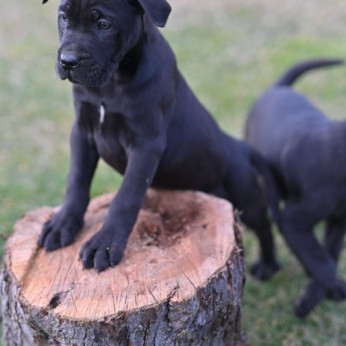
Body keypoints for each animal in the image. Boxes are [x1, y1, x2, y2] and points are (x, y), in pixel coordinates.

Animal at [39, 0, 280, 278]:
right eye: (64, 17)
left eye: (103, 25)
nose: (67, 61)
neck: (111, 83)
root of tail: (239, 145)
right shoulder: (82, 131)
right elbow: (76, 181)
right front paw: (62, 224)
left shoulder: (146, 144)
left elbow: (126, 197)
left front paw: (105, 243)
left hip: (245, 196)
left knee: (264, 225)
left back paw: (268, 265)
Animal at [246, 58, 346, 318]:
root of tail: (277, 88)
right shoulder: (293, 220)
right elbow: (323, 262)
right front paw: (307, 303)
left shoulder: (338, 219)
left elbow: (329, 254)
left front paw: (329, 289)